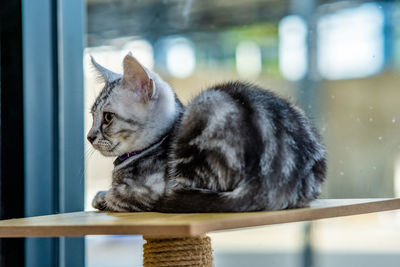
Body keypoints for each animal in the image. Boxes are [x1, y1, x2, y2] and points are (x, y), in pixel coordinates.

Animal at [87, 54, 324, 214]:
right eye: (92, 115)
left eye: (108, 117)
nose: (89, 136)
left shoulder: (146, 190)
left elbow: (113, 196)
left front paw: (101, 197)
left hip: (202, 113)